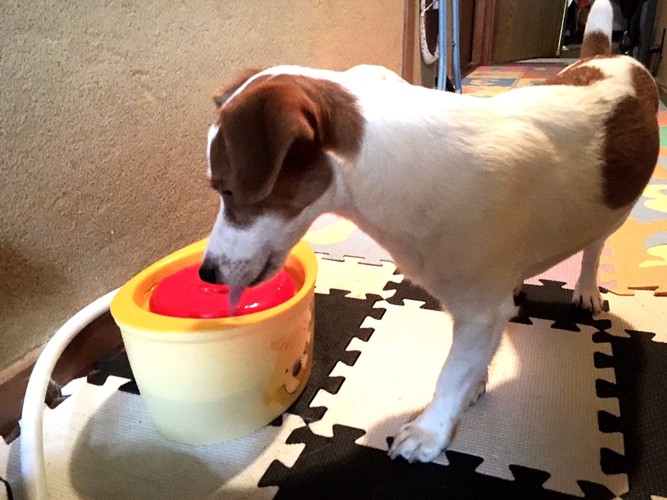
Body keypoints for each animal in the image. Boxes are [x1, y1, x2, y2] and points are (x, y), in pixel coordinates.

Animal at [197, 0, 656, 462]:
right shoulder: (479, 310)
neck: (399, 171)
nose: (207, 273)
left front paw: (429, 432)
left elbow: (451, 375)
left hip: (612, 214)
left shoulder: (478, 311)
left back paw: (586, 287)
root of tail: (606, 55)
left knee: (595, 246)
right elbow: (471, 358)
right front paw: (474, 383)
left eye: (228, 190)